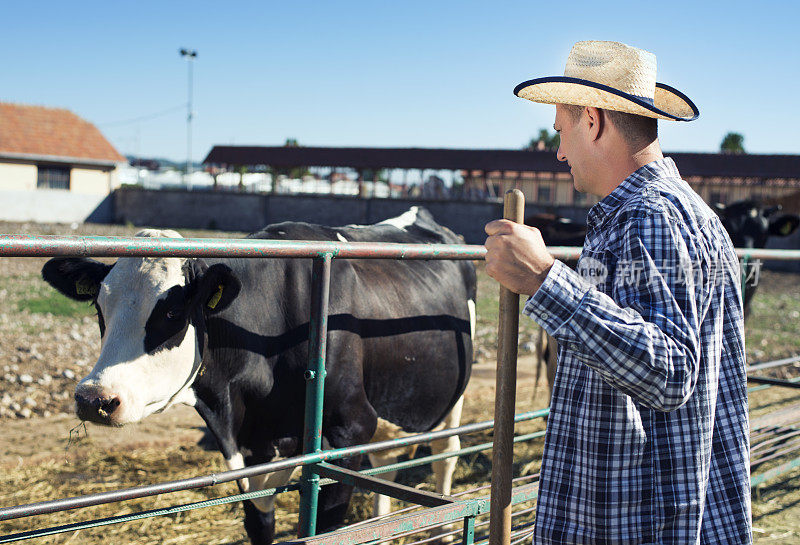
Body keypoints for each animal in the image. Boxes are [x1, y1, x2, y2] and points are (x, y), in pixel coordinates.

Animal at [40, 206, 476, 540]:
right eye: (99, 308)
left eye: (172, 312)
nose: (94, 398)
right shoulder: (250, 452)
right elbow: (260, 524)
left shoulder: (348, 430)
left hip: (450, 400)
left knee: (445, 454)